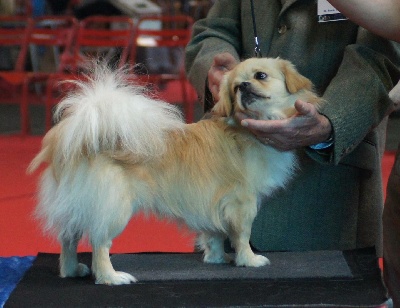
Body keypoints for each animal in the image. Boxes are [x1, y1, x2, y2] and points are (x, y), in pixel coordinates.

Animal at [28, 57, 322, 284]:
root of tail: (85, 138)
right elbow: (242, 235)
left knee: (68, 240)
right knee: (99, 244)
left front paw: (217, 259)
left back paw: (71, 270)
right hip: (113, 208)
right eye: (235, 87)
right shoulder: (242, 202)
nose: (244, 87)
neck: (245, 129)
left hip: (78, 206)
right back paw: (111, 277)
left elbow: (214, 234)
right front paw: (248, 260)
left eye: (260, 76)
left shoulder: (213, 202)